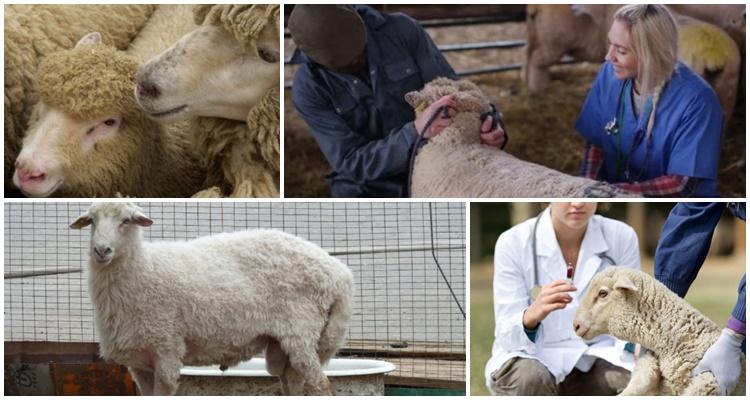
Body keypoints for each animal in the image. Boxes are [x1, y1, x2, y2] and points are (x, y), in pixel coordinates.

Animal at [69, 202, 354, 395]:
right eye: (92, 221)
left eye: (126, 221)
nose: (102, 250)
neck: (144, 269)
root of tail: (338, 273)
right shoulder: (139, 361)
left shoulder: (166, 349)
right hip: (286, 344)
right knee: (292, 383)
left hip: (302, 330)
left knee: (320, 383)